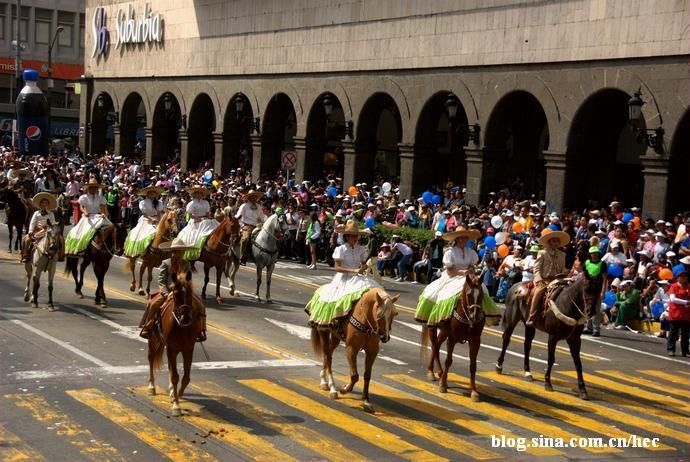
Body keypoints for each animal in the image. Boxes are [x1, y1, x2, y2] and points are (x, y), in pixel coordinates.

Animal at [144, 270, 200, 416]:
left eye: (189, 292)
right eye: (175, 293)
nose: (185, 318)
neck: (181, 327)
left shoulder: (188, 349)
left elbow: (186, 377)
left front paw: (177, 395)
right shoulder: (172, 348)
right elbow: (175, 376)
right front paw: (176, 405)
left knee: (170, 367)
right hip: (154, 340)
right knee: (151, 359)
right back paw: (151, 387)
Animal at [420, 270, 484, 400]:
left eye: (481, 295)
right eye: (468, 294)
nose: (474, 317)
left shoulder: (475, 341)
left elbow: (473, 365)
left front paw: (474, 391)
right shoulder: (452, 338)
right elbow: (448, 360)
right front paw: (443, 385)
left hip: (443, 332)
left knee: (436, 346)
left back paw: (439, 373)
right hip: (433, 328)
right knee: (435, 346)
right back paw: (432, 372)